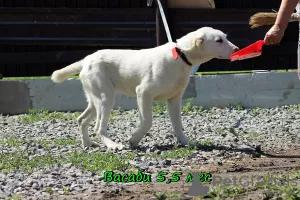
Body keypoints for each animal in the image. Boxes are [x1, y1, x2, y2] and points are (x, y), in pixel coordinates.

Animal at [51, 27, 239, 151]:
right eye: (218, 40)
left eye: (225, 37)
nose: (237, 49)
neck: (180, 56)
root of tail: (87, 58)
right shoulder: (143, 93)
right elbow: (147, 122)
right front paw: (134, 140)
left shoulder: (174, 100)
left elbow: (178, 125)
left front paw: (185, 142)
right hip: (106, 99)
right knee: (98, 127)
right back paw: (113, 145)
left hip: (95, 100)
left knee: (81, 120)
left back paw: (88, 144)